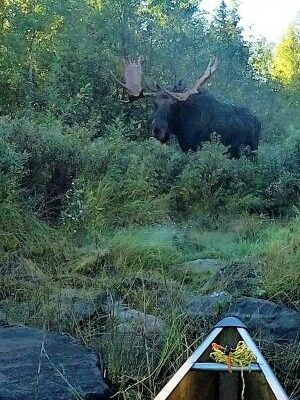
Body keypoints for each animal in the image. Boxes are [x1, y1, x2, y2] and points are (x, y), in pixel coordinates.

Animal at [113, 57, 258, 156]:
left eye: (174, 105)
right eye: (154, 103)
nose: (157, 130)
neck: (180, 129)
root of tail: (258, 122)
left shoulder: (198, 146)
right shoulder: (185, 147)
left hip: (251, 150)